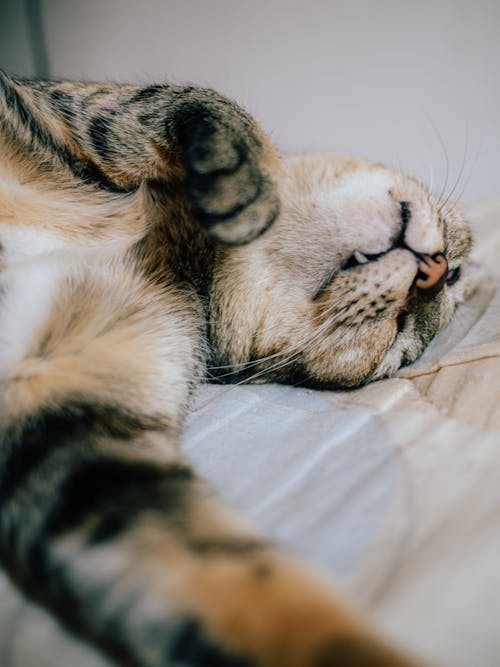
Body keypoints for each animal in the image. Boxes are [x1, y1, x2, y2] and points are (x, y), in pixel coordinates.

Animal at [0, 70, 474, 664]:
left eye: (400, 345)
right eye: (454, 270)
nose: (434, 271)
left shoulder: (80, 440)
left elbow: (251, 582)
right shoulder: (58, 103)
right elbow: (192, 104)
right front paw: (243, 180)